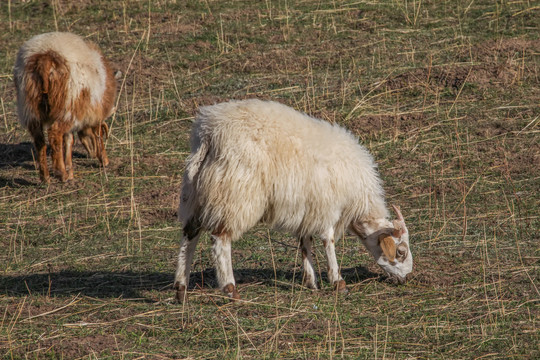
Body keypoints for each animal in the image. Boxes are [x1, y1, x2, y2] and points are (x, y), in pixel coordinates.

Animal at [13, 31, 116, 183]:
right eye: (103, 133)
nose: (106, 163)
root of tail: (45, 58)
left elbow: (68, 140)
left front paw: (70, 170)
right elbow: (78, 138)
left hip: (29, 106)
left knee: (39, 140)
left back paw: (45, 177)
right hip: (67, 106)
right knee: (54, 134)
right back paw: (60, 174)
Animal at [175, 98, 412, 300]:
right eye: (401, 251)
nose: (408, 278)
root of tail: (208, 133)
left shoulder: (308, 208)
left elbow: (305, 242)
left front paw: (311, 282)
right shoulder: (327, 206)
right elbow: (328, 241)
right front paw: (338, 282)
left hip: (195, 193)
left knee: (189, 235)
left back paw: (181, 288)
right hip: (233, 195)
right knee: (219, 240)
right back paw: (230, 289)